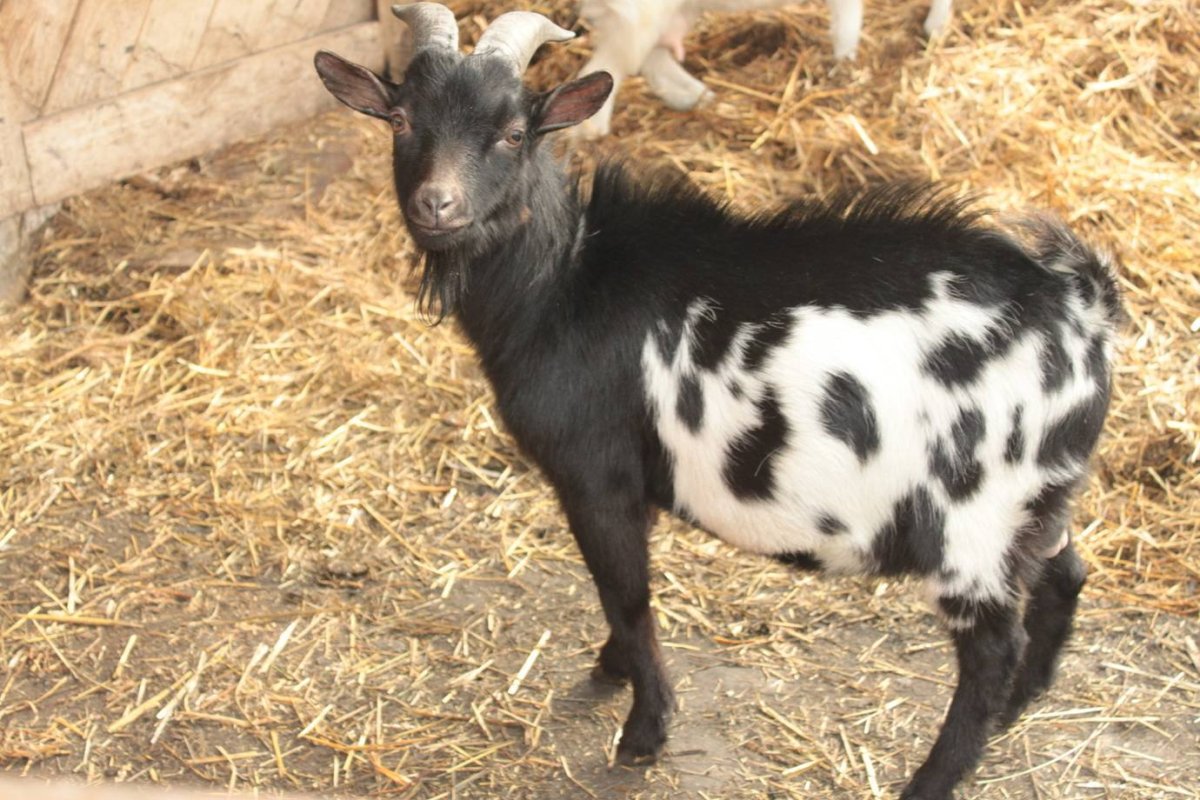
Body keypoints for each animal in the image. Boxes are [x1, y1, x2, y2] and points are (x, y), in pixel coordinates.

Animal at [574, 0, 954, 138]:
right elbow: (847, 22)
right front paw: (846, 69)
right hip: (640, 15)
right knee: (607, 65)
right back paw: (592, 130)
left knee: (650, 58)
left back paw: (701, 98)